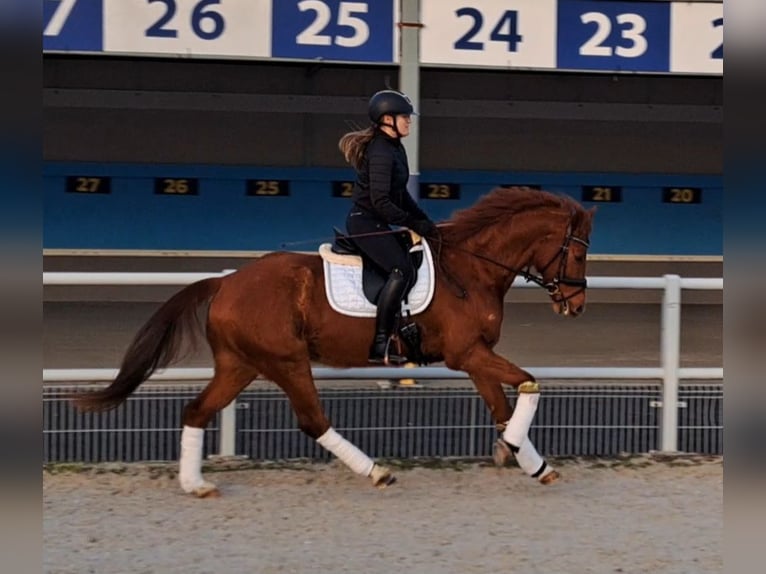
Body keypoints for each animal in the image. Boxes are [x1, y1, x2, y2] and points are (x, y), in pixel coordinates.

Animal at [69, 187, 596, 498]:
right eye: (577, 251)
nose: (575, 304)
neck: (472, 268)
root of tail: (226, 282)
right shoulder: (468, 354)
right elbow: (529, 384)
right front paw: (516, 447)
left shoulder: (474, 358)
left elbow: (504, 403)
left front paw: (529, 461)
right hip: (286, 361)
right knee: (312, 420)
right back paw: (375, 471)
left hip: (241, 364)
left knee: (197, 410)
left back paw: (195, 484)